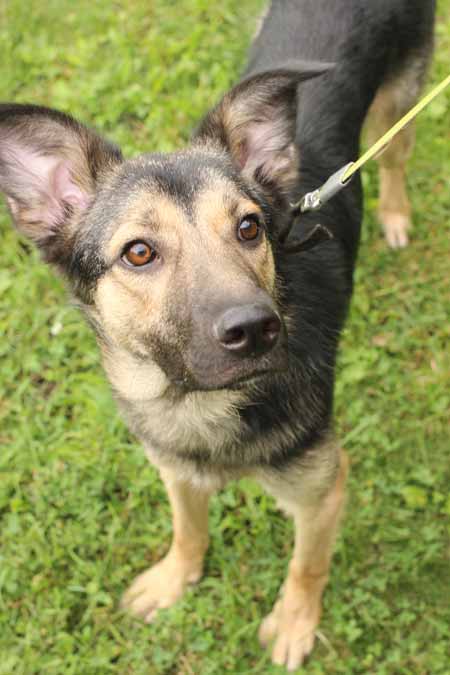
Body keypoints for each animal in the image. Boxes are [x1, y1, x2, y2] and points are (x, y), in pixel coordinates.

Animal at [0, 0, 435, 669]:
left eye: (250, 227)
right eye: (139, 252)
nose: (257, 329)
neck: (199, 404)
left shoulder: (324, 488)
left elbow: (307, 567)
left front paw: (294, 623)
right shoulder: (173, 466)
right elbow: (188, 527)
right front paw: (174, 579)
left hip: (400, 101)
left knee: (393, 157)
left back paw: (393, 213)